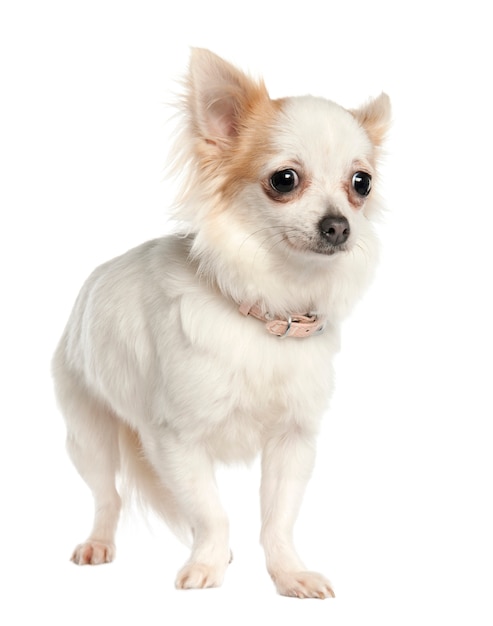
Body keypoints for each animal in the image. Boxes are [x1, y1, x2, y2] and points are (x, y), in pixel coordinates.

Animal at [52, 47, 390, 596]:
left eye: (362, 183)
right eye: (284, 180)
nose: (339, 225)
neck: (267, 310)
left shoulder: (292, 441)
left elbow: (276, 520)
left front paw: (288, 573)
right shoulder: (176, 440)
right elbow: (212, 512)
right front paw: (207, 566)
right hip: (89, 435)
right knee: (108, 496)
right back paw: (100, 542)